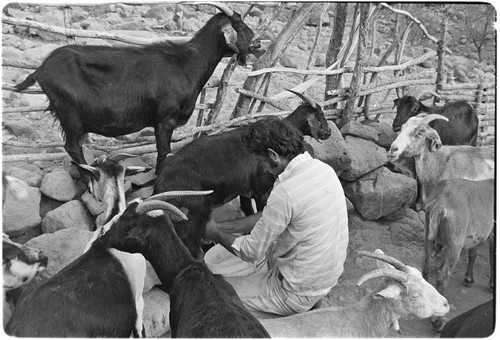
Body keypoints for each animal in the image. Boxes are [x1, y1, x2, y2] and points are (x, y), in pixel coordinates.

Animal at [13, 1, 256, 173]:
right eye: (241, 26)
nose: (259, 43)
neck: (186, 63)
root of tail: (41, 69)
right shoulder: (164, 119)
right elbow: (164, 151)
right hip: (69, 112)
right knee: (72, 147)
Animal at [153, 90, 332, 258]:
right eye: (320, 116)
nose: (329, 132)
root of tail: (162, 181)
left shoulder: (245, 191)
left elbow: (248, 211)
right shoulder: (262, 191)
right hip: (190, 220)